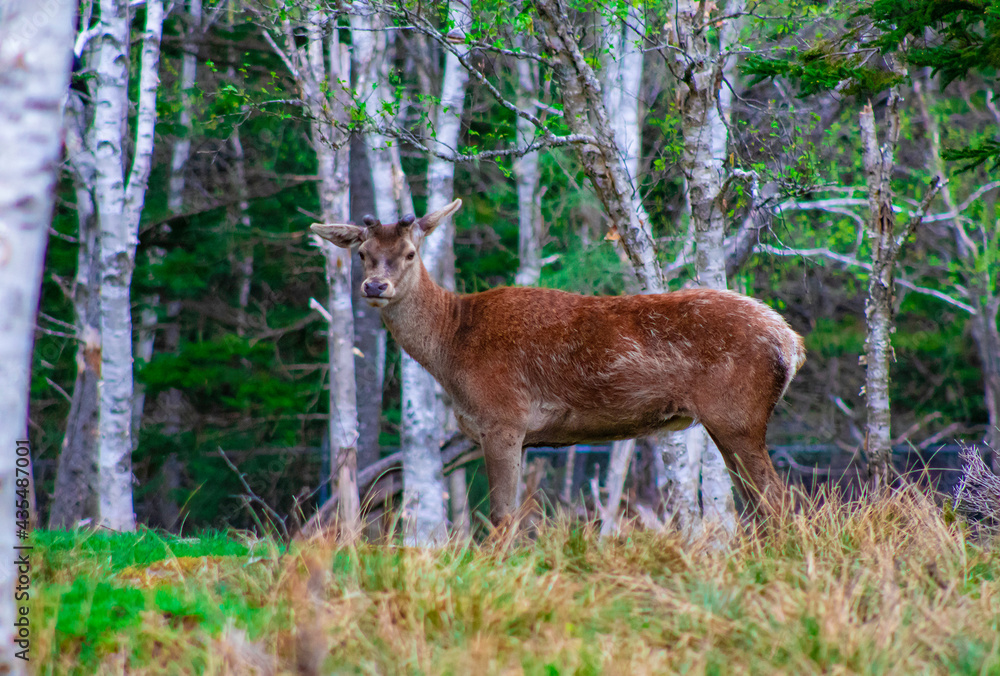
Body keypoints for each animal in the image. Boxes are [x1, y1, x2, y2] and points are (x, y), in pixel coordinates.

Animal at [312, 199, 806, 529]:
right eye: (362, 254)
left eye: (411, 254)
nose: (375, 286)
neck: (452, 347)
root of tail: (791, 342)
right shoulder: (522, 434)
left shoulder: (502, 417)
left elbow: (501, 517)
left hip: (736, 413)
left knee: (778, 502)